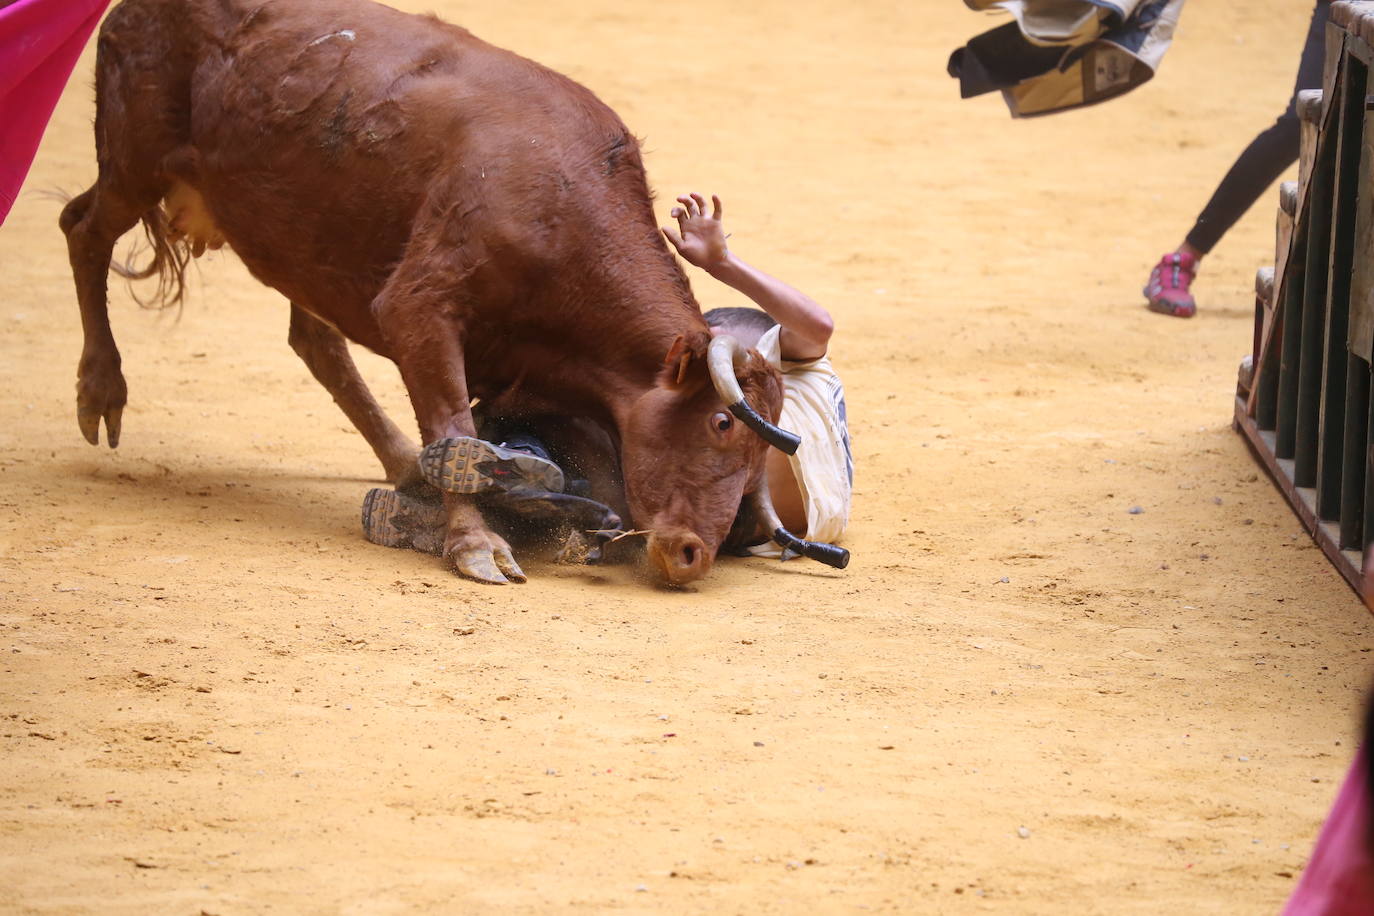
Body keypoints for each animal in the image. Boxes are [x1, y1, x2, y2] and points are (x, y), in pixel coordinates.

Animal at [59, 0, 791, 587]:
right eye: (722, 423)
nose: (695, 554)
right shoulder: (419, 308)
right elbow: (453, 428)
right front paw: (475, 545)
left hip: (295, 238)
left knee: (313, 338)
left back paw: (403, 465)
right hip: (133, 163)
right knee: (82, 228)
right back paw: (101, 391)